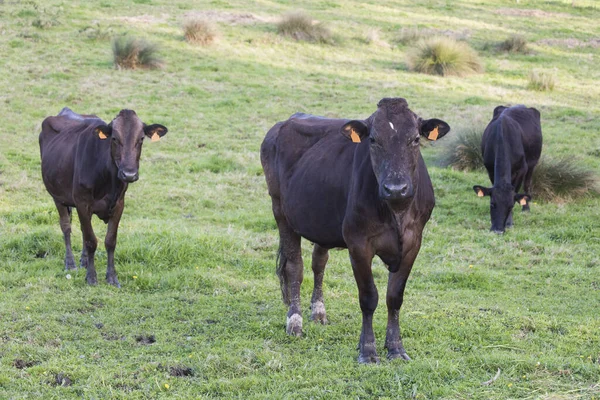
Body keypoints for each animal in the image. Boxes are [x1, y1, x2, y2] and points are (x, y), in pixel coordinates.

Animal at [40, 108, 168, 286]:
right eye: (114, 138)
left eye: (141, 138)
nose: (129, 174)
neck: (109, 182)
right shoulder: (82, 202)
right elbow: (91, 240)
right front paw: (91, 277)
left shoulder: (119, 204)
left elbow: (110, 241)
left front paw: (112, 277)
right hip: (57, 196)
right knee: (66, 227)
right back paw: (70, 263)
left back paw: (84, 261)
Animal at [258, 97, 450, 362]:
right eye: (373, 140)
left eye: (414, 139)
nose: (396, 188)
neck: (396, 211)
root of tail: (284, 122)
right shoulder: (358, 243)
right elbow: (369, 297)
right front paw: (368, 351)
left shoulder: (414, 242)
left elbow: (394, 297)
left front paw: (396, 348)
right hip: (281, 212)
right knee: (294, 267)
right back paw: (295, 322)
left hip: (322, 221)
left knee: (319, 262)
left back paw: (318, 312)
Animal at [474, 104, 544, 233]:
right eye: (492, 204)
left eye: (510, 206)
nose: (498, 230)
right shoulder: (490, 169)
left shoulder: (522, 169)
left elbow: (516, 192)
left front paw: (510, 222)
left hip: (533, 163)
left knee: (527, 184)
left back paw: (526, 208)